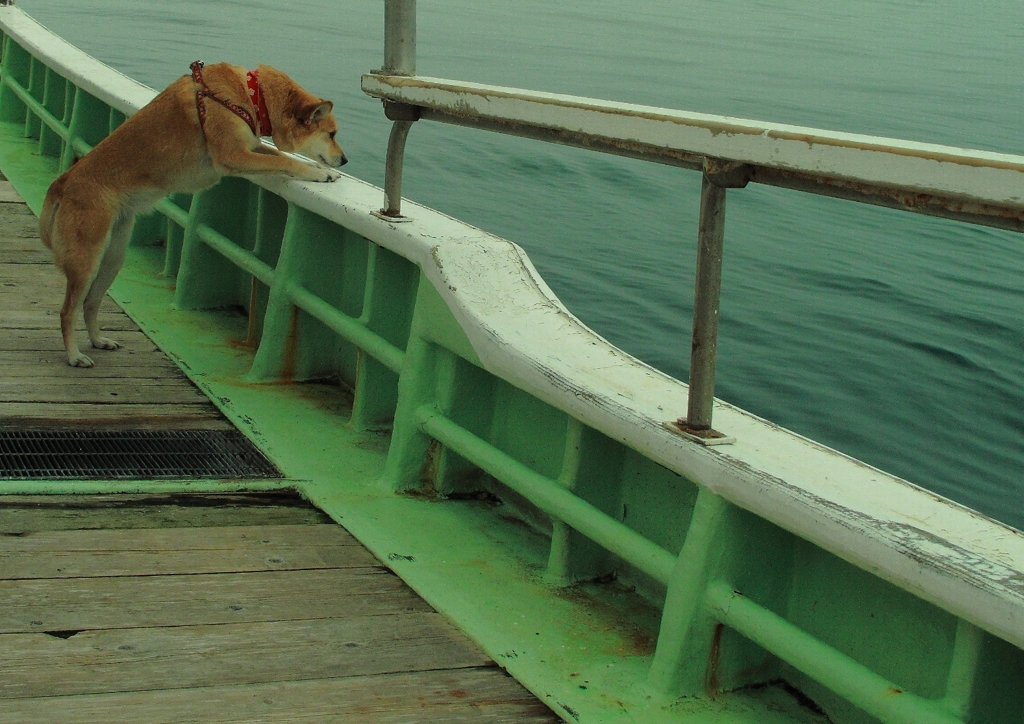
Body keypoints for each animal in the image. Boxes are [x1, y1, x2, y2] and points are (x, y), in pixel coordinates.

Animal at [39, 62, 346, 368]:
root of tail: (64, 182)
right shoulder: (234, 156)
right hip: (87, 261)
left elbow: (278, 155)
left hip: (112, 258)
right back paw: (74, 355)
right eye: (331, 134)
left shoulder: (250, 146)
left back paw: (98, 340)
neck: (252, 95)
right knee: (67, 311)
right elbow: (286, 161)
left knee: (90, 304)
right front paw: (320, 173)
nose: (344, 161)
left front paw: (320, 170)